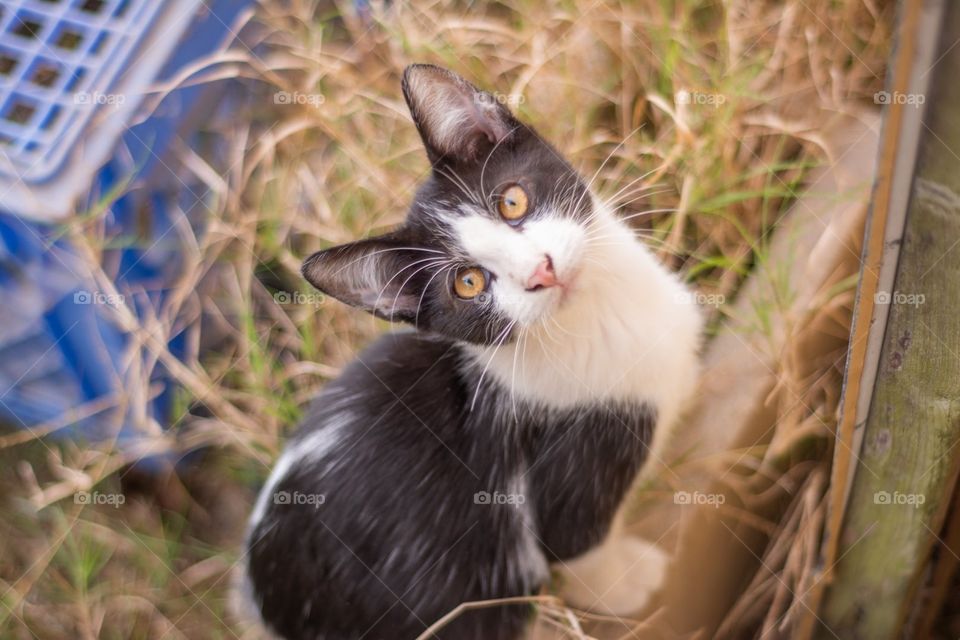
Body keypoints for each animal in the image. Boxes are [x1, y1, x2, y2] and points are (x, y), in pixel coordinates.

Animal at [244, 65, 700, 640]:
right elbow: (576, 545)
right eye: (467, 283)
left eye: (512, 202)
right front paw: (628, 583)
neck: (595, 317)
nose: (541, 270)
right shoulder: (571, 459)